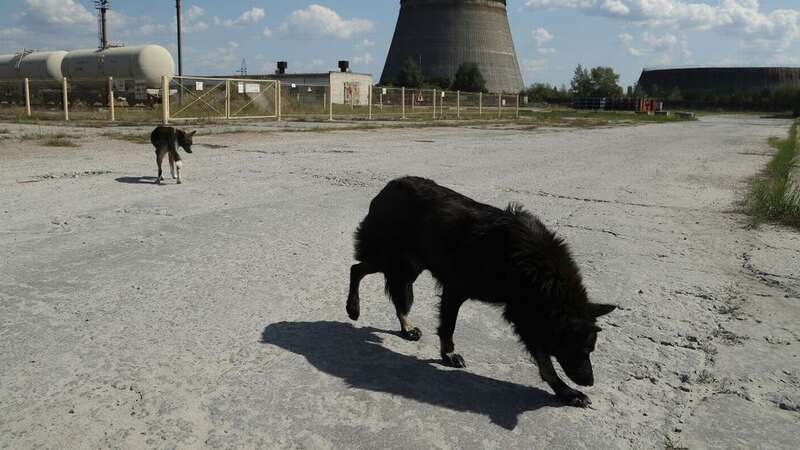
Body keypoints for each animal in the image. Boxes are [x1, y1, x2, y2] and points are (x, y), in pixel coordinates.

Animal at [346, 177, 616, 408]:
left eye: (591, 350)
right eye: (583, 350)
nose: (590, 382)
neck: (535, 270)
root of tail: (390, 186)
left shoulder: (525, 314)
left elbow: (544, 360)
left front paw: (565, 392)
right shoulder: (456, 290)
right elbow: (448, 327)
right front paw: (449, 354)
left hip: (409, 265)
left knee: (392, 290)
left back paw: (406, 326)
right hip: (394, 259)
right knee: (356, 269)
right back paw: (353, 308)